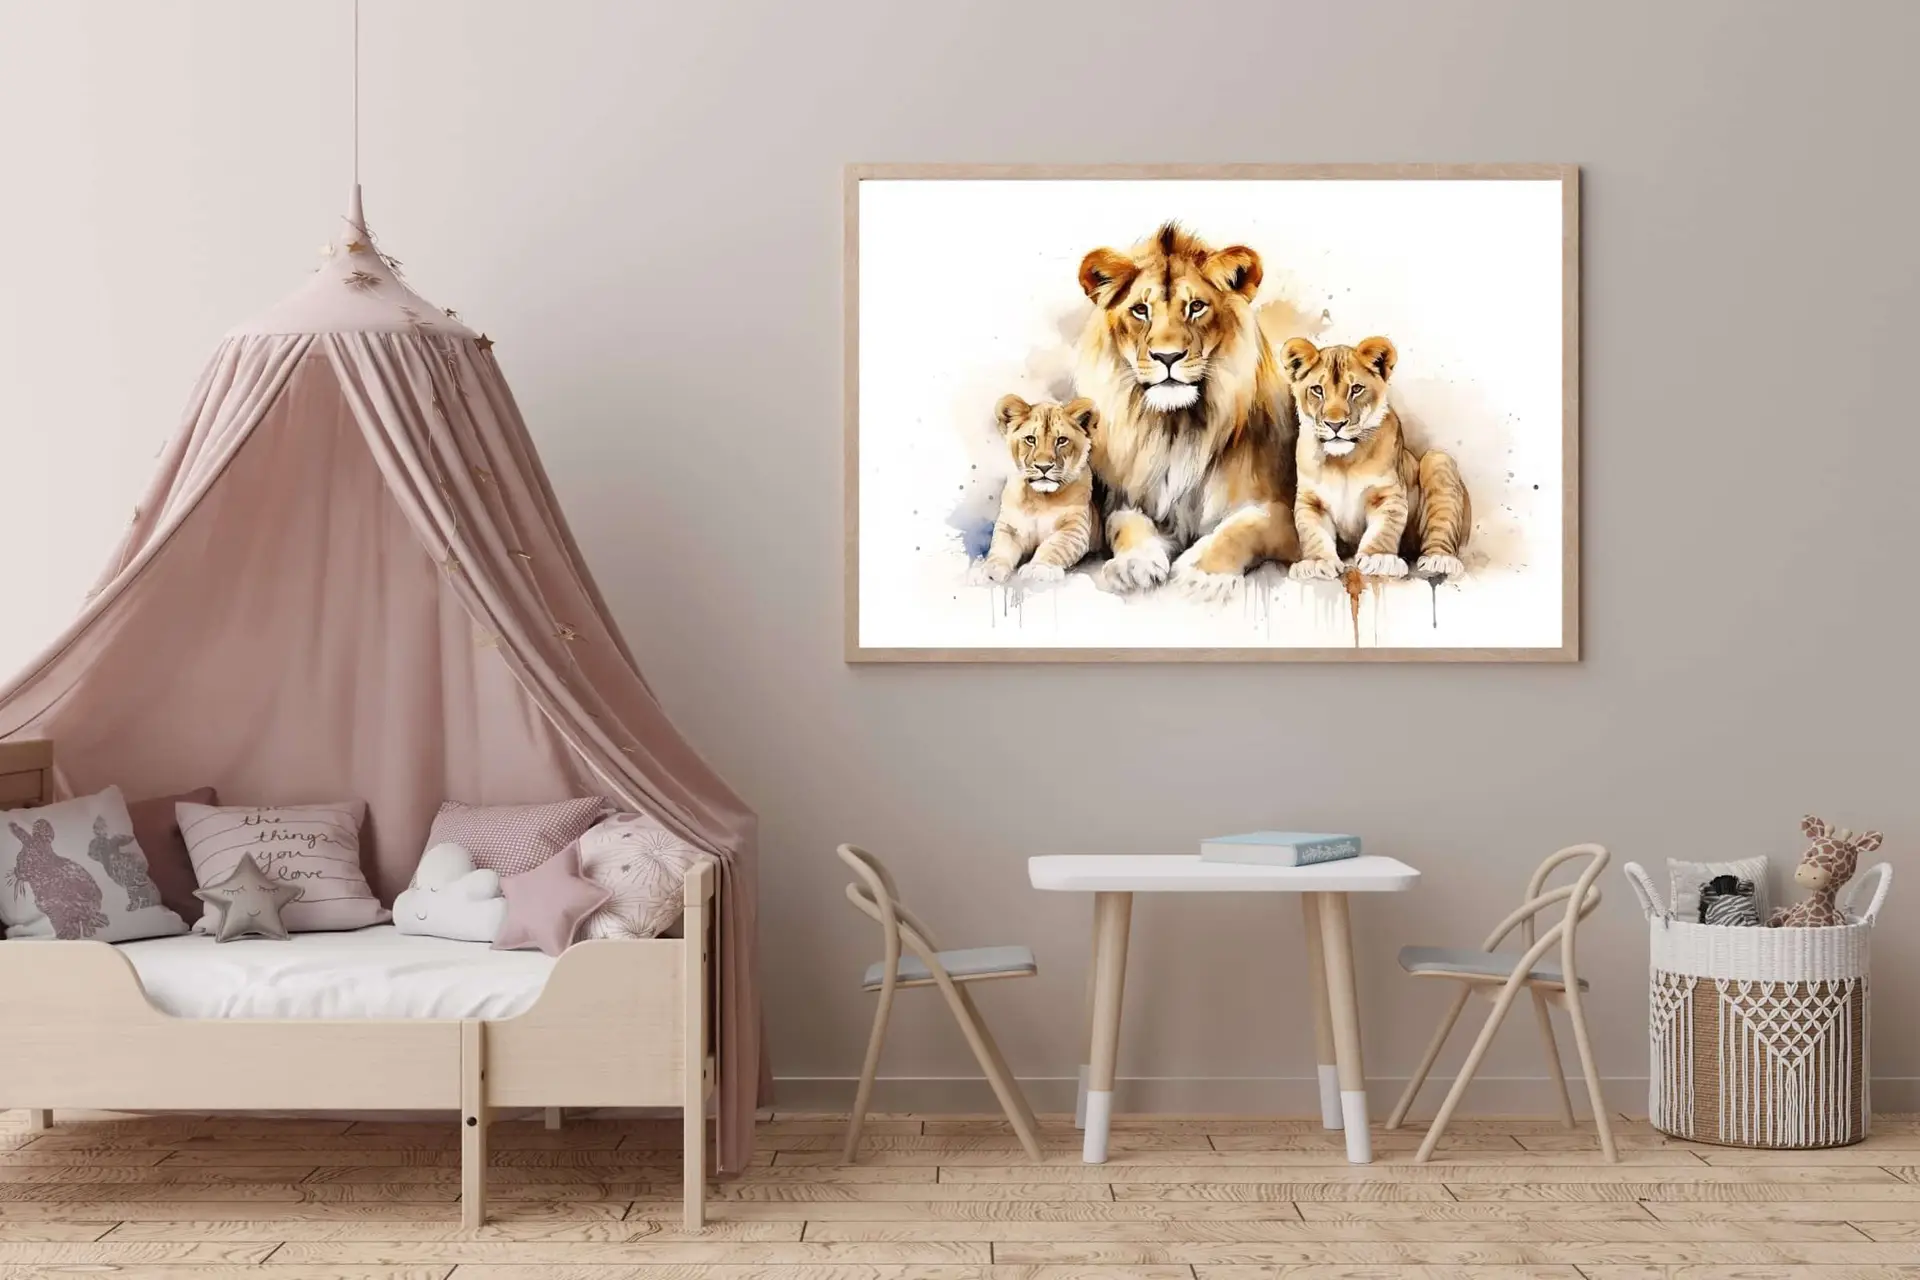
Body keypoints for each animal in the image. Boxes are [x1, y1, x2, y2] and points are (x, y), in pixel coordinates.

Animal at [977, 395, 1101, 585]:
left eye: (1061, 440)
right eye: (1030, 439)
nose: (1044, 467)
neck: (1040, 498)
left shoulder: (1075, 529)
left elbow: (1053, 546)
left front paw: (1039, 568)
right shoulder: (1011, 526)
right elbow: (1000, 548)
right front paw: (989, 570)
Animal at [1073, 222, 1299, 599]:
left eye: (1196, 307)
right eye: (1140, 310)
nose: (1168, 357)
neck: (1175, 427)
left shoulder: (1288, 514)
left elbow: (1247, 524)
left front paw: (1201, 572)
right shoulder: (1127, 499)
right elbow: (1124, 522)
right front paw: (1135, 562)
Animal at [1279, 336, 1471, 582]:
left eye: (1356, 389)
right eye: (1317, 390)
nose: (1334, 424)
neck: (1342, 461)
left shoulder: (1388, 494)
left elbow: (1384, 528)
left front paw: (1379, 558)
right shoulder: (1311, 501)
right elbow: (1312, 532)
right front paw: (1316, 563)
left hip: (1438, 460)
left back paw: (1439, 559)